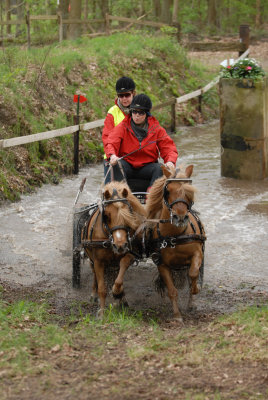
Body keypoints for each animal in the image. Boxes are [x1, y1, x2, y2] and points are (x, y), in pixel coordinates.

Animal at [81, 180, 146, 316]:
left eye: (129, 214)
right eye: (106, 216)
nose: (120, 245)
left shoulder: (130, 253)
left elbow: (121, 273)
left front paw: (117, 292)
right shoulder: (99, 262)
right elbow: (102, 288)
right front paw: (101, 312)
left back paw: (121, 299)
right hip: (91, 259)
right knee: (94, 275)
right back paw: (93, 295)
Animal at [146, 164, 206, 320]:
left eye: (190, 192)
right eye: (168, 190)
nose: (180, 217)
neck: (174, 236)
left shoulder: (197, 254)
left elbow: (193, 274)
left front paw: (195, 290)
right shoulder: (161, 264)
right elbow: (172, 290)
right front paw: (177, 316)